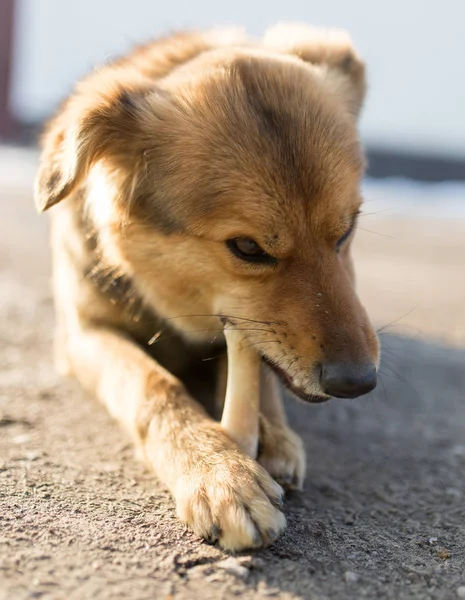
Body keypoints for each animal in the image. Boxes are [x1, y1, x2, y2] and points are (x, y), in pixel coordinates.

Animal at [34, 23, 378, 552]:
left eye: (348, 230)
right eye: (248, 247)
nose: (358, 382)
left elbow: (258, 372)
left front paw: (269, 433)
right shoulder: (82, 334)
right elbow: (154, 386)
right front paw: (219, 473)